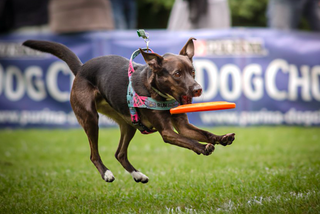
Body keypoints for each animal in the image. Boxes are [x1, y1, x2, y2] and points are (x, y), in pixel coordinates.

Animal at [23, 38, 235, 182]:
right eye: (177, 74)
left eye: (193, 72)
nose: (198, 88)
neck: (157, 91)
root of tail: (81, 68)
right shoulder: (167, 132)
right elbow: (189, 141)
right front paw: (203, 147)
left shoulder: (183, 126)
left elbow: (203, 133)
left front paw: (222, 138)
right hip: (90, 118)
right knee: (94, 154)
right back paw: (106, 173)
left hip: (128, 124)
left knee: (120, 153)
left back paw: (137, 174)